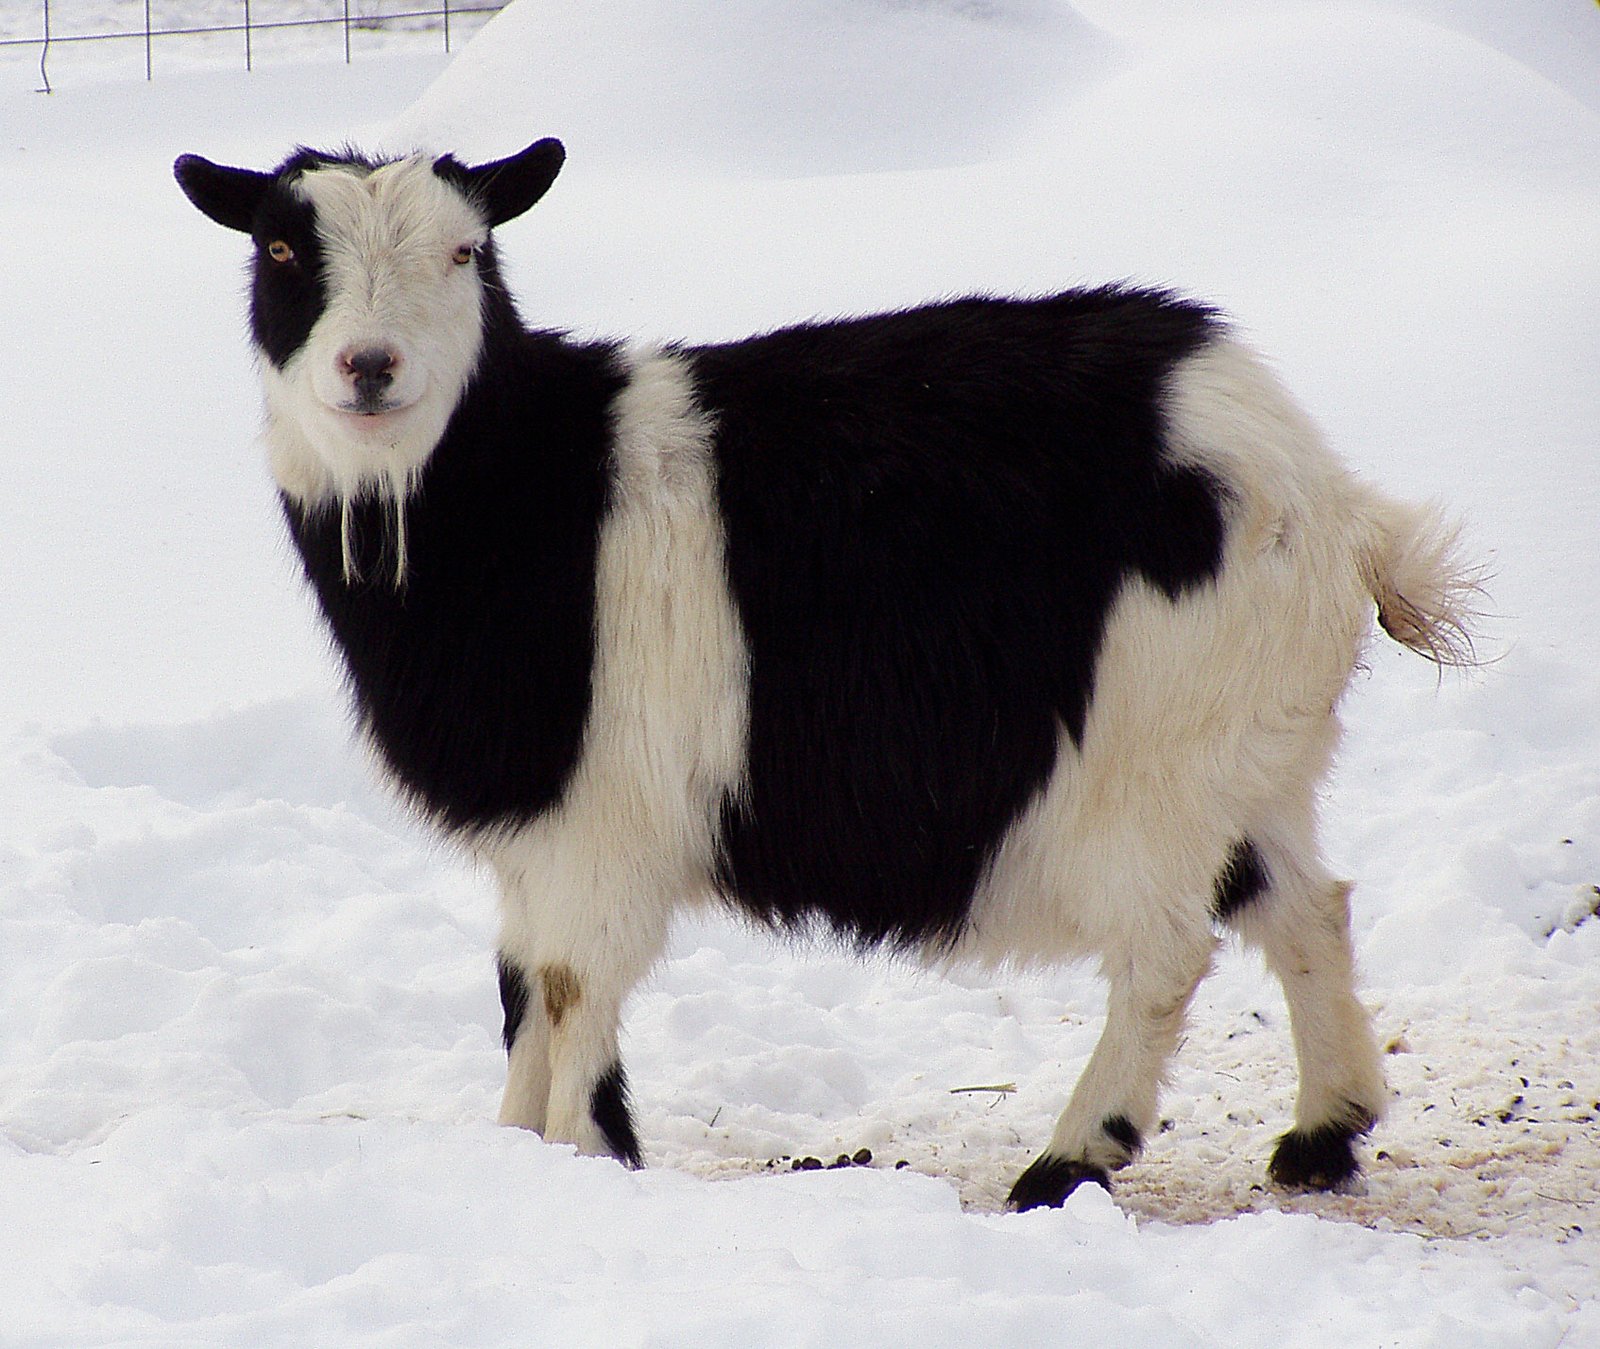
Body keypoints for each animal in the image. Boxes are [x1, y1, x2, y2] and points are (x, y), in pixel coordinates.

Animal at [174, 137, 1478, 1210]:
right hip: (1246, 759)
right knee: (1307, 903)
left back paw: (1066, 1160)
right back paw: (1322, 1132)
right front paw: (515, 1151)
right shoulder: (535, 840)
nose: (370, 365)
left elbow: (571, 990)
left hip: (1149, 761)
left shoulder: (602, 827)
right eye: (282, 247)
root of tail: (1332, 506)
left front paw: (587, 1160)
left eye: (466, 248)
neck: (527, 496)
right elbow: (521, 994)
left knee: (1166, 955)